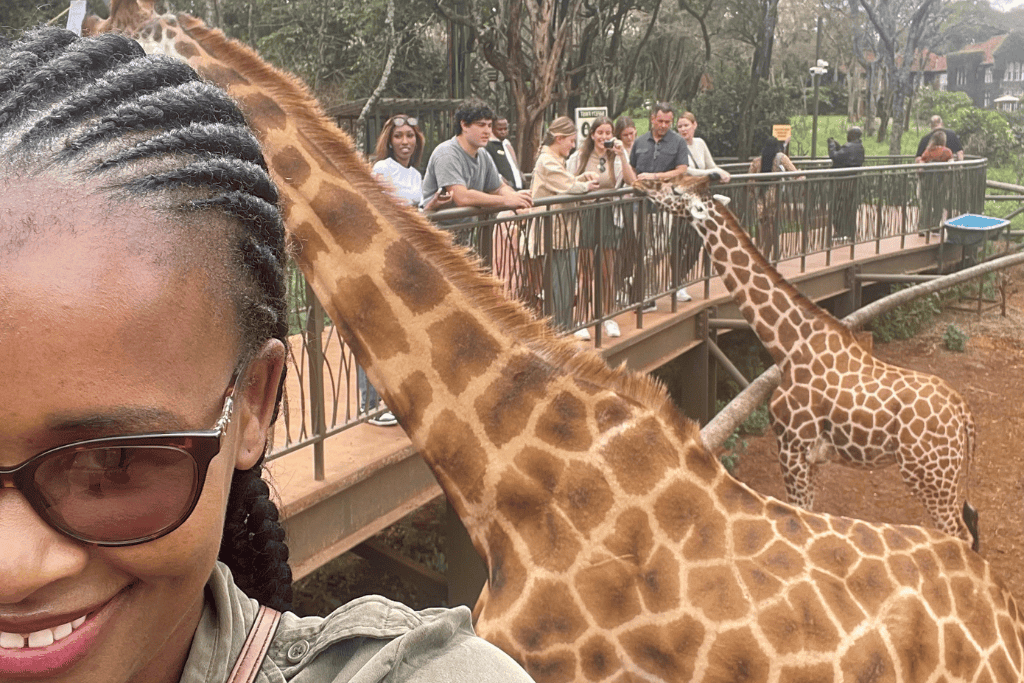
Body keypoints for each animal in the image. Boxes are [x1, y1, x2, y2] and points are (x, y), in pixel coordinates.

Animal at [634, 175, 980, 550]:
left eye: (675, 190)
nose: (641, 181)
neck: (787, 346)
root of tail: (964, 412)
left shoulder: (792, 447)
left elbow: (797, 518)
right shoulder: (812, 458)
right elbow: (811, 514)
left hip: (930, 474)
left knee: (960, 534)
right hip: (945, 475)